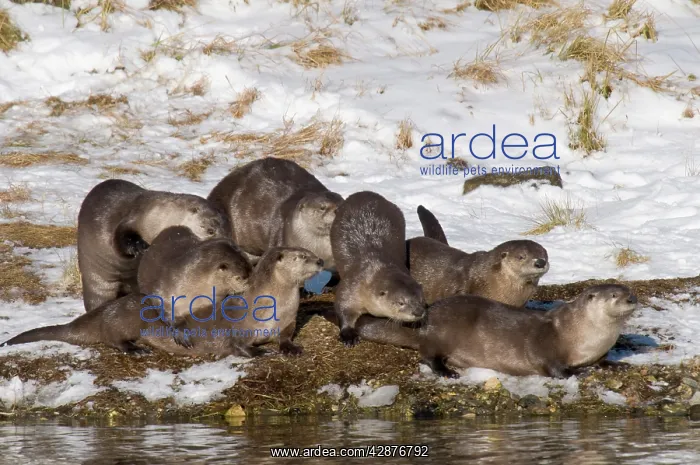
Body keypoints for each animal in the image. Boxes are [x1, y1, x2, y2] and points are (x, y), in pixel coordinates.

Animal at [78, 179, 230, 312]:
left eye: (225, 230)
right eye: (210, 231)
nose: (225, 241)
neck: (160, 217)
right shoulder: (133, 218)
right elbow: (121, 238)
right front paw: (140, 246)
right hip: (96, 281)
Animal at [330, 191, 426, 346]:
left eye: (422, 300)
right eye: (401, 302)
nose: (418, 312)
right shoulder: (352, 285)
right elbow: (343, 308)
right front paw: (348, 335)